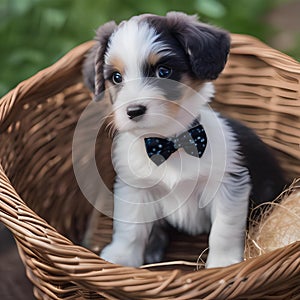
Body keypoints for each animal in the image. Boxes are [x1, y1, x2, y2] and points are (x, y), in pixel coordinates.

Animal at [82, 11, 286, 268]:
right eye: (116, 77)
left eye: (164, 71)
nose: (134, 111)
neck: (171, 142)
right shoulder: (135, 188)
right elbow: (130, 228)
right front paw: (121, 257)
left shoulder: (229, 185)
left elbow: (223, 230)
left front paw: (222, 264)